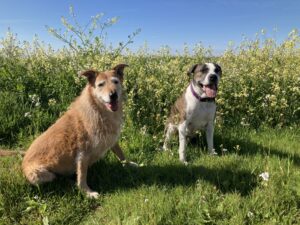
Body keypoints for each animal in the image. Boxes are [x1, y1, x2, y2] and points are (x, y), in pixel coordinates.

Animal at [21, 64, 137, 198]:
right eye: (100, 85)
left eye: (115, 81)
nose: (113, 95)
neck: (100, 111)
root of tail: (24, 159)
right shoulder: (82, 153)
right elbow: (82, 175)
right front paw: (87, 193)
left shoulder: (111, 139)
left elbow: (120, 153)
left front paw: (128, 164)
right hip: (41, 174)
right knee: (59, 178)